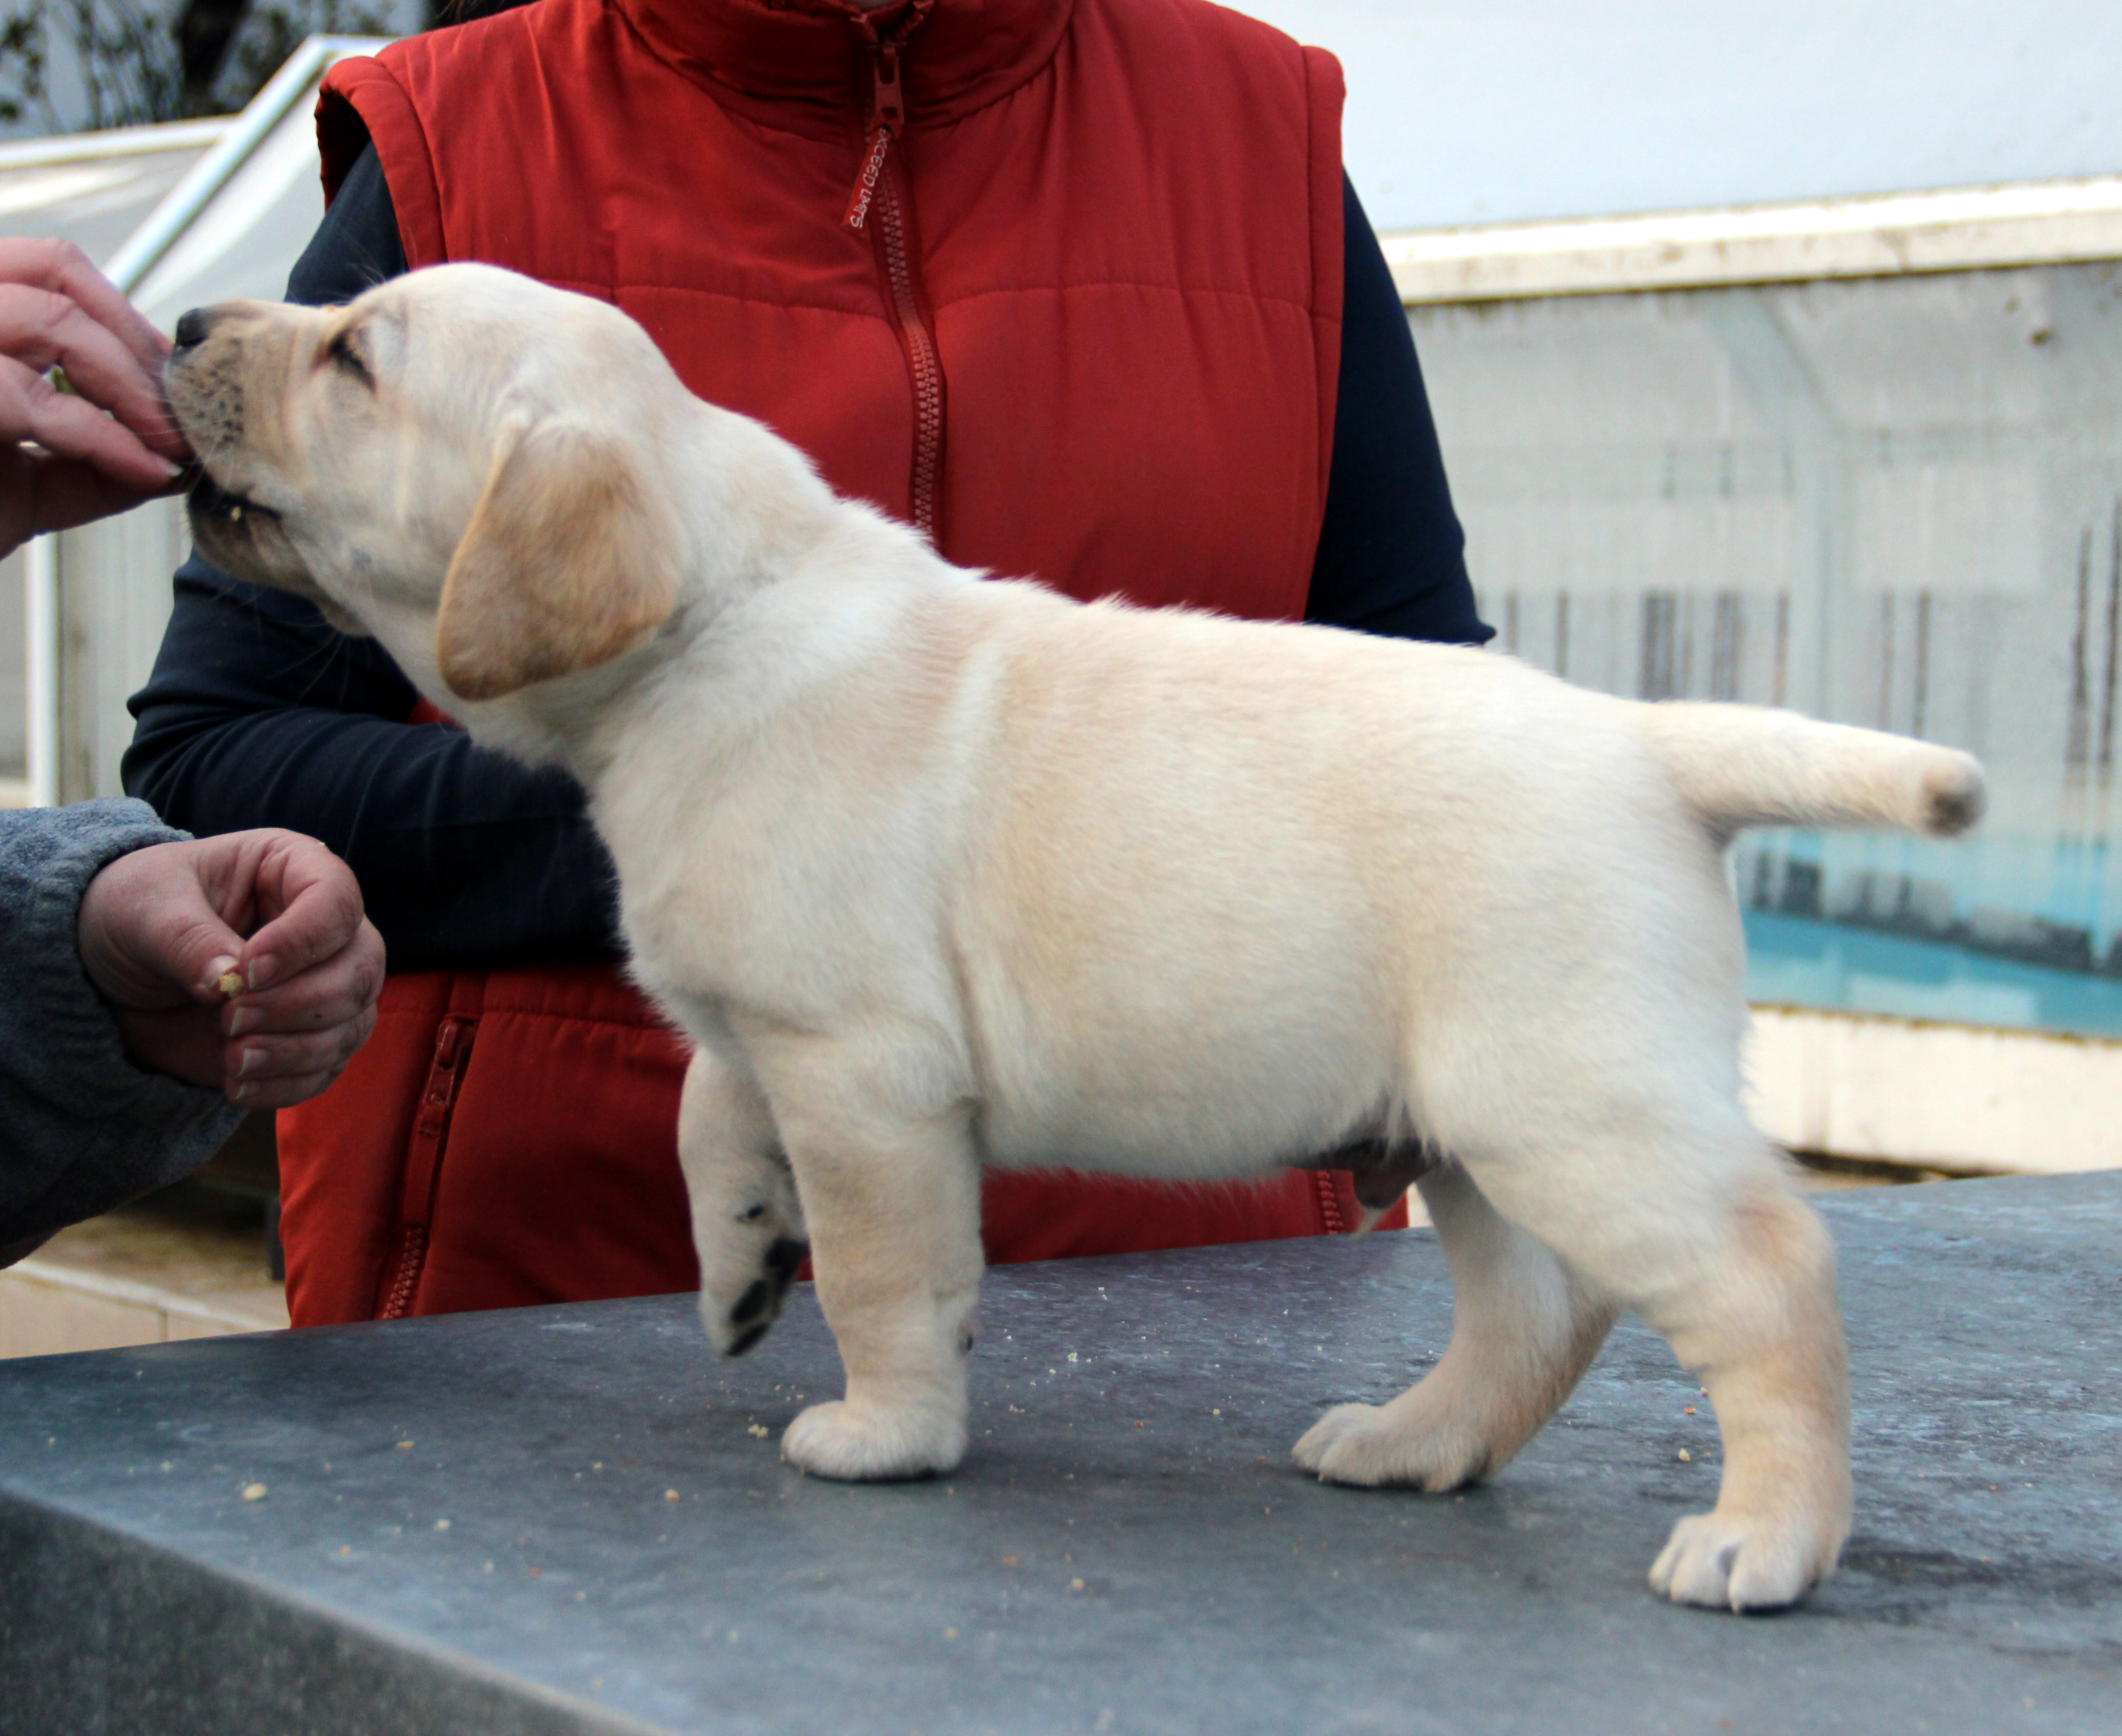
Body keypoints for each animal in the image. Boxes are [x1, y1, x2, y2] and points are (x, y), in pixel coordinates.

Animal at [170, 260, 1986, 1613]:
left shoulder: (864, 1070)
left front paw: (885, 1431)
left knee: (1766, 1272)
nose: (183, 326)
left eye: (352, 354)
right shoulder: (775, 1020)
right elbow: (705, 1114)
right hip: (1477, 1126)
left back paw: (1764, 1541)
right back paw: (1410, 1443)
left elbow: (887, 1270)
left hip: (1569, 1101)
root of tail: (1647, 740)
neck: (712, 615)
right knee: (1540, 1316)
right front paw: (738, 1266)